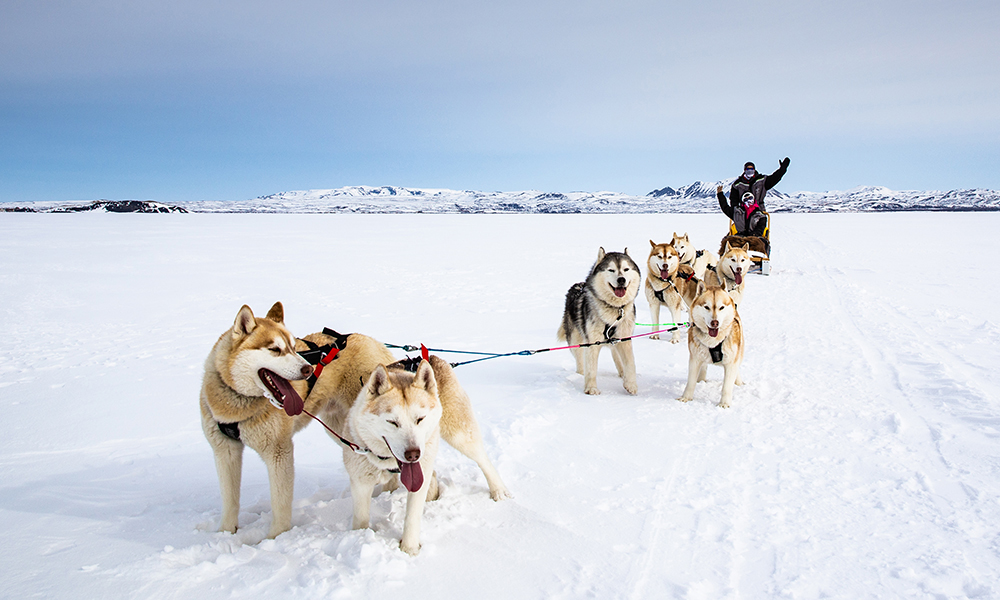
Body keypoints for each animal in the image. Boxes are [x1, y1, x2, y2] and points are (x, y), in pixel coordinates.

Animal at [197, 302, 314, 540]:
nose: (309, 369)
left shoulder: (279, 452)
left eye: (293, 347)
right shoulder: (225, 450)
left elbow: (280, 502)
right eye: (275, 349)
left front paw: (276, 538)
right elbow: (230, 499)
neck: (236, 406)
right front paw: (225, 533)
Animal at [346, 358, 516, 556]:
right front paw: (358, 537)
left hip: (459, 435)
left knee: (483, 460)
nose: (413, 454)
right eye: (392, 422)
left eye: (420, 419)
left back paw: (498, 490)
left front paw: (409, 550)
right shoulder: (360, 483)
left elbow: (412, 516)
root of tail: (432, 358)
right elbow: (361, 518)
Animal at [556, 246, 640, 396]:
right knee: (580, 361)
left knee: (617, 358)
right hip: (576, 340)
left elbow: (630, 363)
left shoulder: (624, 339)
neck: (614, 310)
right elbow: (591, 369)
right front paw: (591, 388)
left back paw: (622, 375)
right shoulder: (592, 342)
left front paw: (631, 384)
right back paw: (580, 375)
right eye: (611, 270)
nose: (621, 280)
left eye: (626, 269)